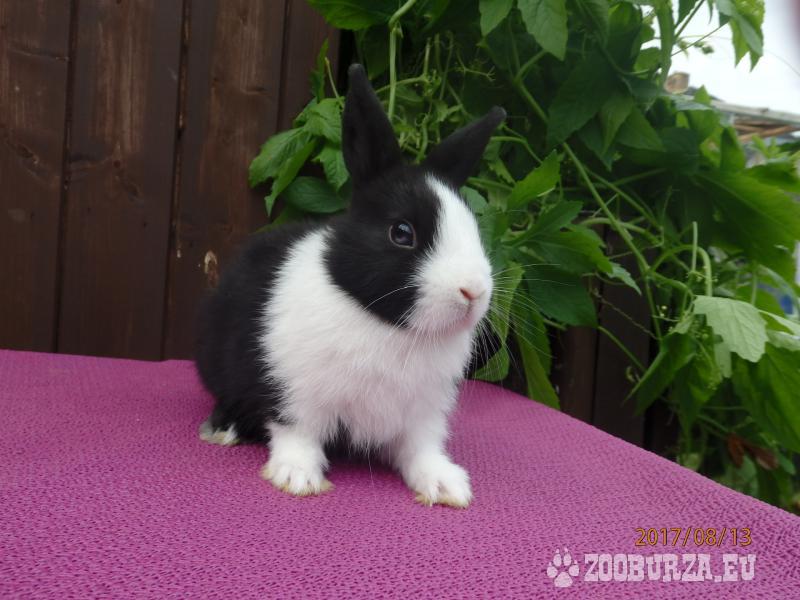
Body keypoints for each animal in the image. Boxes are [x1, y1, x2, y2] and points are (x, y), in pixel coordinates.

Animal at [195, 63, 505, 508]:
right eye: (402, 233)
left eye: (474, 228)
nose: (474, 292)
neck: (385, 325)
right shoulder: (296, 396)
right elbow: (298, 435)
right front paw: (297, 478)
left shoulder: (422, 415)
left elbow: (421, 450)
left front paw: (447, 486)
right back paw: (224, 428)